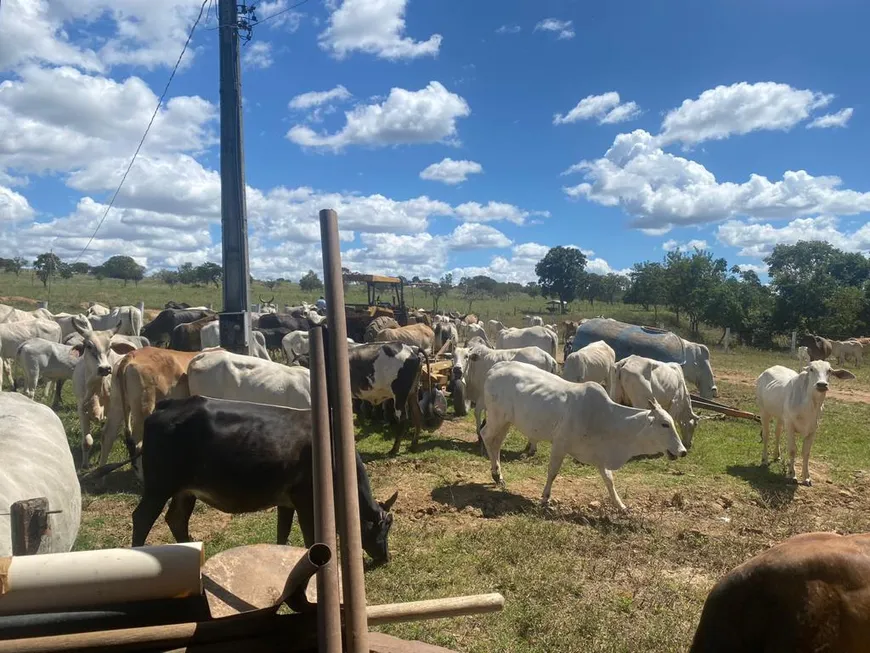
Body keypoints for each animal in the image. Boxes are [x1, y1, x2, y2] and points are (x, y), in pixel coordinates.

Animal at [131, 394, 400, 564]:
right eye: (385, 526)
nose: (386, 558)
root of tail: (166, 404)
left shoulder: (286, 502)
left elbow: (283, 534)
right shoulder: (305, 502)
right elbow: (310, 538)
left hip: (185, 491)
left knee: (176, 519)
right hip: (159, 487)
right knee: (142, 518)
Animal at [480, 362, 684, 510]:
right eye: (665, 424)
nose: (682, 451)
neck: (605, 418)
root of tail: (495, 367)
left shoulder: (601, 456)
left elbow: (609, 481)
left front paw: (621, 506)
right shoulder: (560, 444)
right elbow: (552, 472)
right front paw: (545, 498)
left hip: (506, 422)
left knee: (496, 443)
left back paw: (498, 476)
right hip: (497, 417)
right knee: (486, 436)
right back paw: (496, 473)